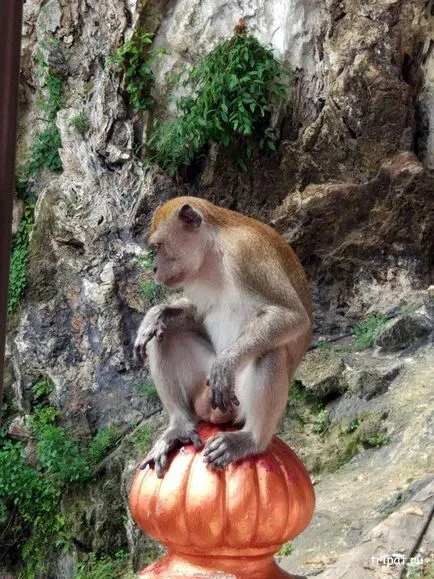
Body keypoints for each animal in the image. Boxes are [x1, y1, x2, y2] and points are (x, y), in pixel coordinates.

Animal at [133, 197, 312, 478]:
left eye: (160, 246)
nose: (154, 267)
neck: (213, 254)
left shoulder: (246, 254)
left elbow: (291, 315)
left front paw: (226, 361)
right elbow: (194, 314)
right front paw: (156, 315)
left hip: (235, 403)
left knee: (269, 350)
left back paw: (251, 440)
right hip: (201, 391)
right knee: (164, 337)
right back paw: (179, 426)